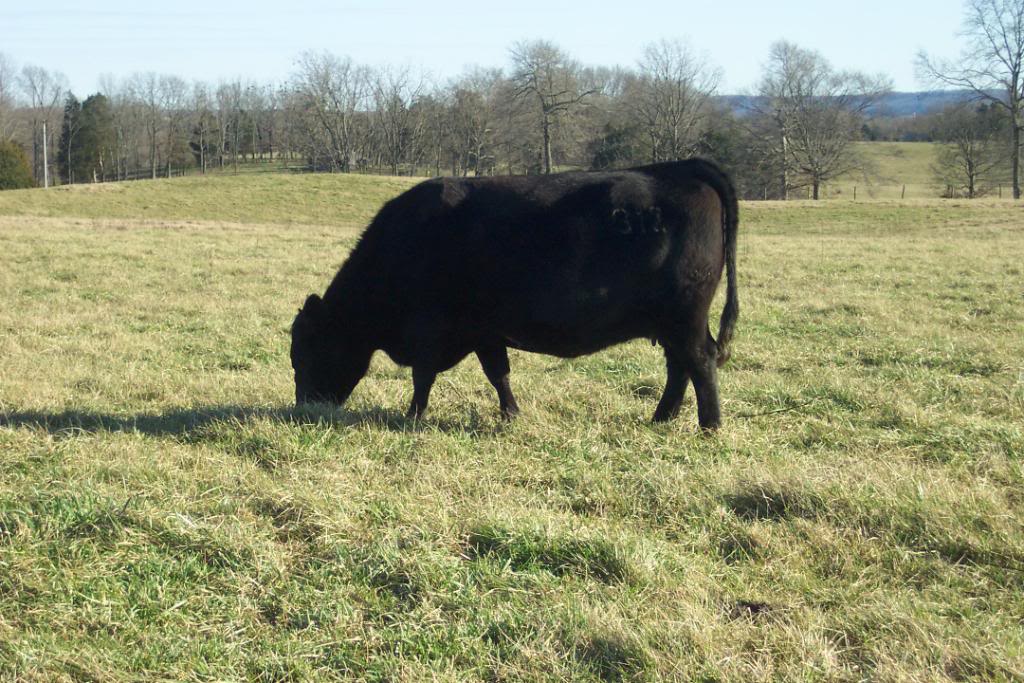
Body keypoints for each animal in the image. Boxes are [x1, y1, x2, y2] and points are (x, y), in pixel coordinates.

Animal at [292, 157, 741, 430]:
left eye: (304, 352)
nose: (303, 409)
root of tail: (682, 168)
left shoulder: (430, 329)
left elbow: (423, 375)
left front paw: (413, 417)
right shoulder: (484, 331)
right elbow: (498, 373)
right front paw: (510, 415)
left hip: (684, 317)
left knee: (699, 361)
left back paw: (709, 427)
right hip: (670, 323)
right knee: (679, 367)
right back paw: (662, 419)